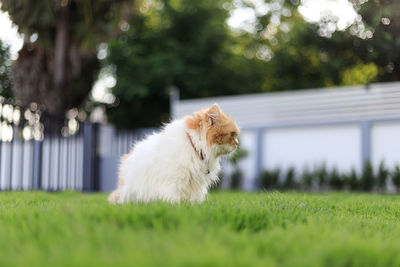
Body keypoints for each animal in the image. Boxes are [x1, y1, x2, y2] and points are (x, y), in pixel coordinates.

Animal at [108, 104, 239, 205]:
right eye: (232, 135)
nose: (237, 144)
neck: (195, 146)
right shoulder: (173, 180)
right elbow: (173, 198)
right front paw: (176, 206)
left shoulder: (195, 184)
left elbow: (194, 199)